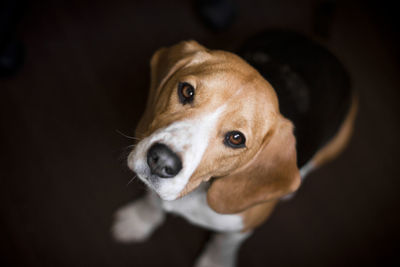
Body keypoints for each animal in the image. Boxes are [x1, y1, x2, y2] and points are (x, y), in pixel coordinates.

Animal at [111, 30, 356, 267]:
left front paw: (214, 263)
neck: (195, 192)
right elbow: (152, 201)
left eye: (236, 138)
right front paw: (139, 221)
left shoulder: (240, 228)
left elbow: (223, 246)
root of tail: (322, 48)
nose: (162, 160)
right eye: (187, 91)